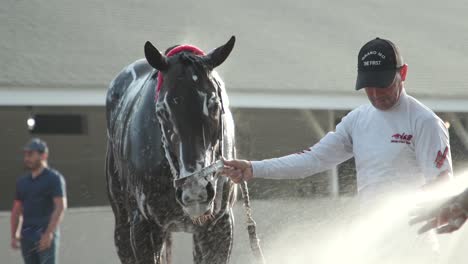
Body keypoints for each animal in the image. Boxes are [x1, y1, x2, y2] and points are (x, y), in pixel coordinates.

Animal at [104, 36, 239, 262]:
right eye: (161, 110)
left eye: (214, 105)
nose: (195, 190)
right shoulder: (144, 226)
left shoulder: (219, 225)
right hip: (122, 226)